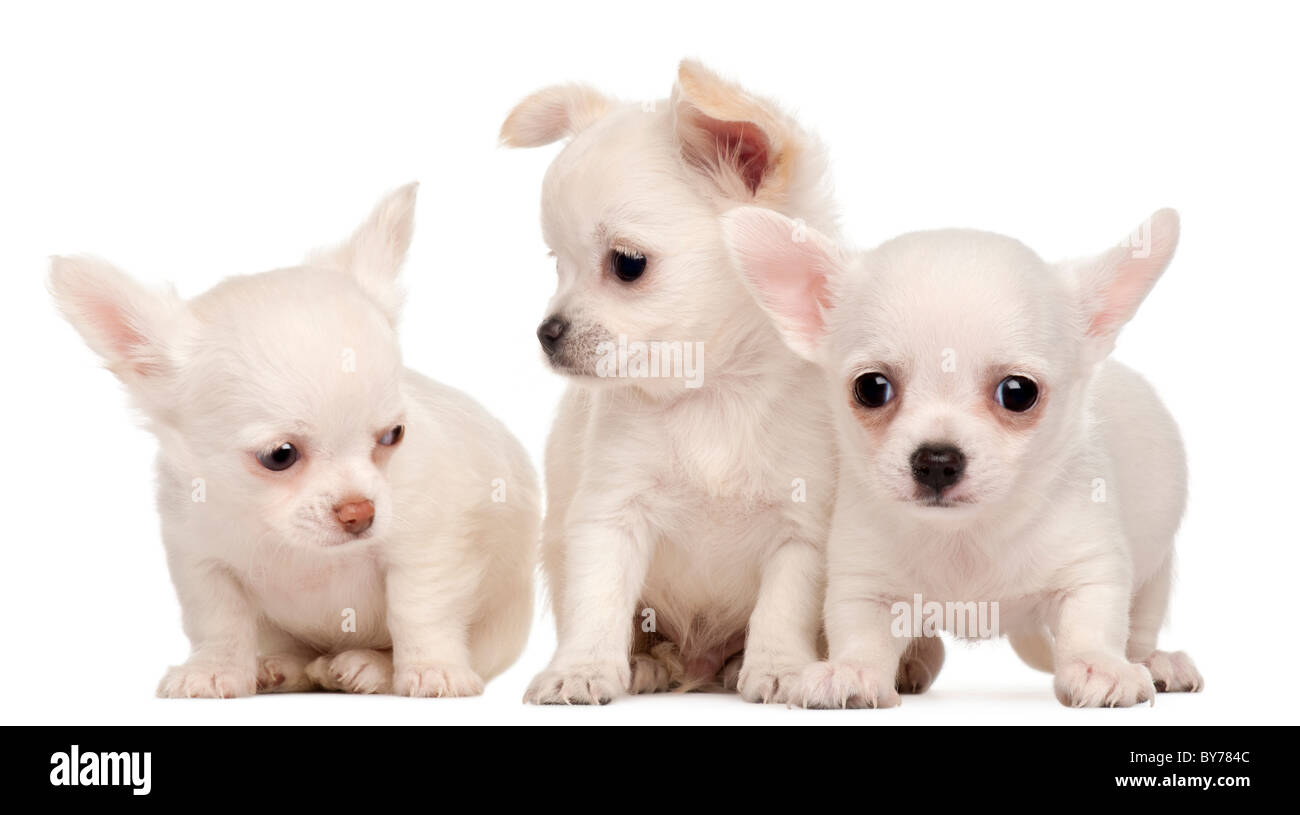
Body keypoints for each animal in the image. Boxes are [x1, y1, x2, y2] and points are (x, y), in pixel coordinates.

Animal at [50, 187, 538, 701]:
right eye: (279, 456)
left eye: (393, 436)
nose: (360, 512)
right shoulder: (201, 558)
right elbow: (219, 621)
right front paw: (214, 670)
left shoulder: (427, 548)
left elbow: (419, 610)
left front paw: (432, 669)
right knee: (296, 658)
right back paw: (280, 666)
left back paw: (369, 667)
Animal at [499, 60, 946, 707]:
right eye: (558, 265)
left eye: (627, 264)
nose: (546, 333)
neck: (713, 393)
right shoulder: (610, 515)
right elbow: (598, 601)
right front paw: (582, 669)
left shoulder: (803, 531)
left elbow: (782, 606)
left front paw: (781, 669)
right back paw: (648, 663)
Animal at [722, 205, 1196, 707]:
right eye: (871, 388)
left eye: (1018, 392)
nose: (936, 460)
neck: (964, 537)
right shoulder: (865, 583)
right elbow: (860, 630)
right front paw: (852, 671)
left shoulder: (1091, 569)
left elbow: (1091, 622)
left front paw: (1099, 666)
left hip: (1155, 573)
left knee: (1140, 626)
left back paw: (1155, 661)